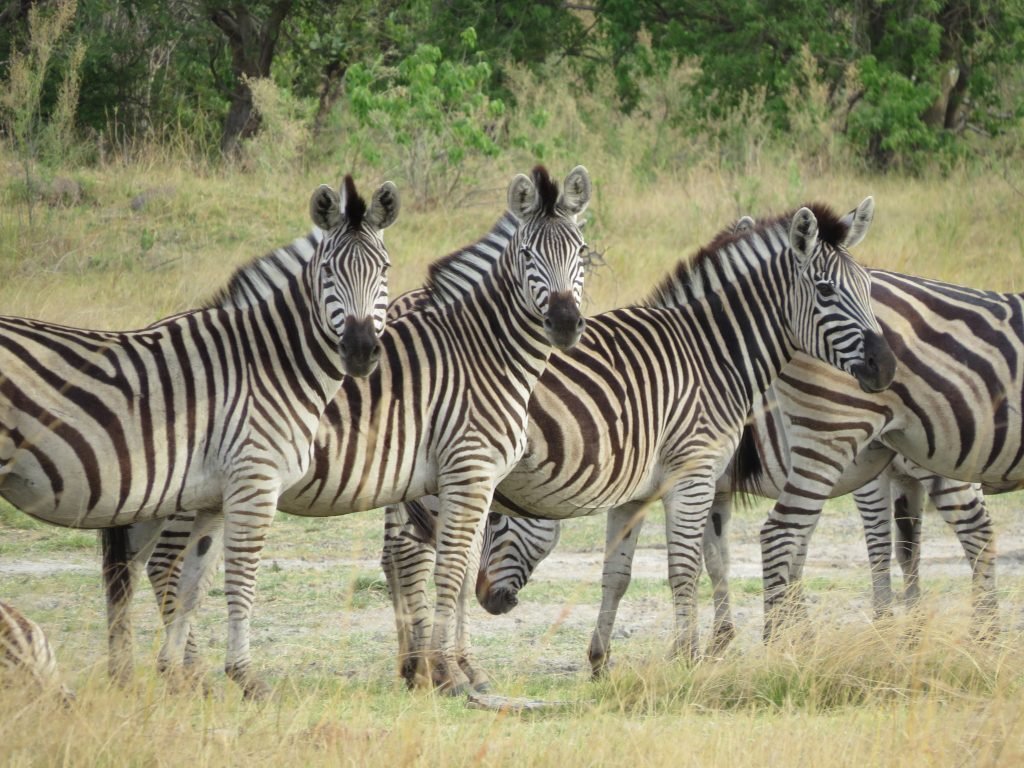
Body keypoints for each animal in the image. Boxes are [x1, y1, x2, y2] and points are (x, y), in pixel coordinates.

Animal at [1, 177, 399, 700]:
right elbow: (241, 581)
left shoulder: (212, 497)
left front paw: (176, 674)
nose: (360, 352)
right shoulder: (254, 484)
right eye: (329, 271)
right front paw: (244, 677)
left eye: (384, 269)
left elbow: (192, 587)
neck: (269, 362)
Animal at [100, 165, 598, 696]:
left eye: (581, 254)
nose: (565, 325)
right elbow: (446, 568)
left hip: (149, 495)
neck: (481, 351)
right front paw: (449, 671)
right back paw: (189, 675)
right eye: (528, 256)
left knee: (131, 566)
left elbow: (443, 569)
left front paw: (436, 668)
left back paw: (131, 673)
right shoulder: (463, 473)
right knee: (164, 567)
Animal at [382, 196, 897, 684]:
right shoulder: (694, 474)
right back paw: (436, 668)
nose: (887, 366)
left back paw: (423, 666)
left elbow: (623, 574)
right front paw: (689, 658)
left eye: (868, 287)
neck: (710, 353)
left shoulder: (641, 488)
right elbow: (689, 567)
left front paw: (601, 660)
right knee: (419, 555)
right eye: (827, 291)